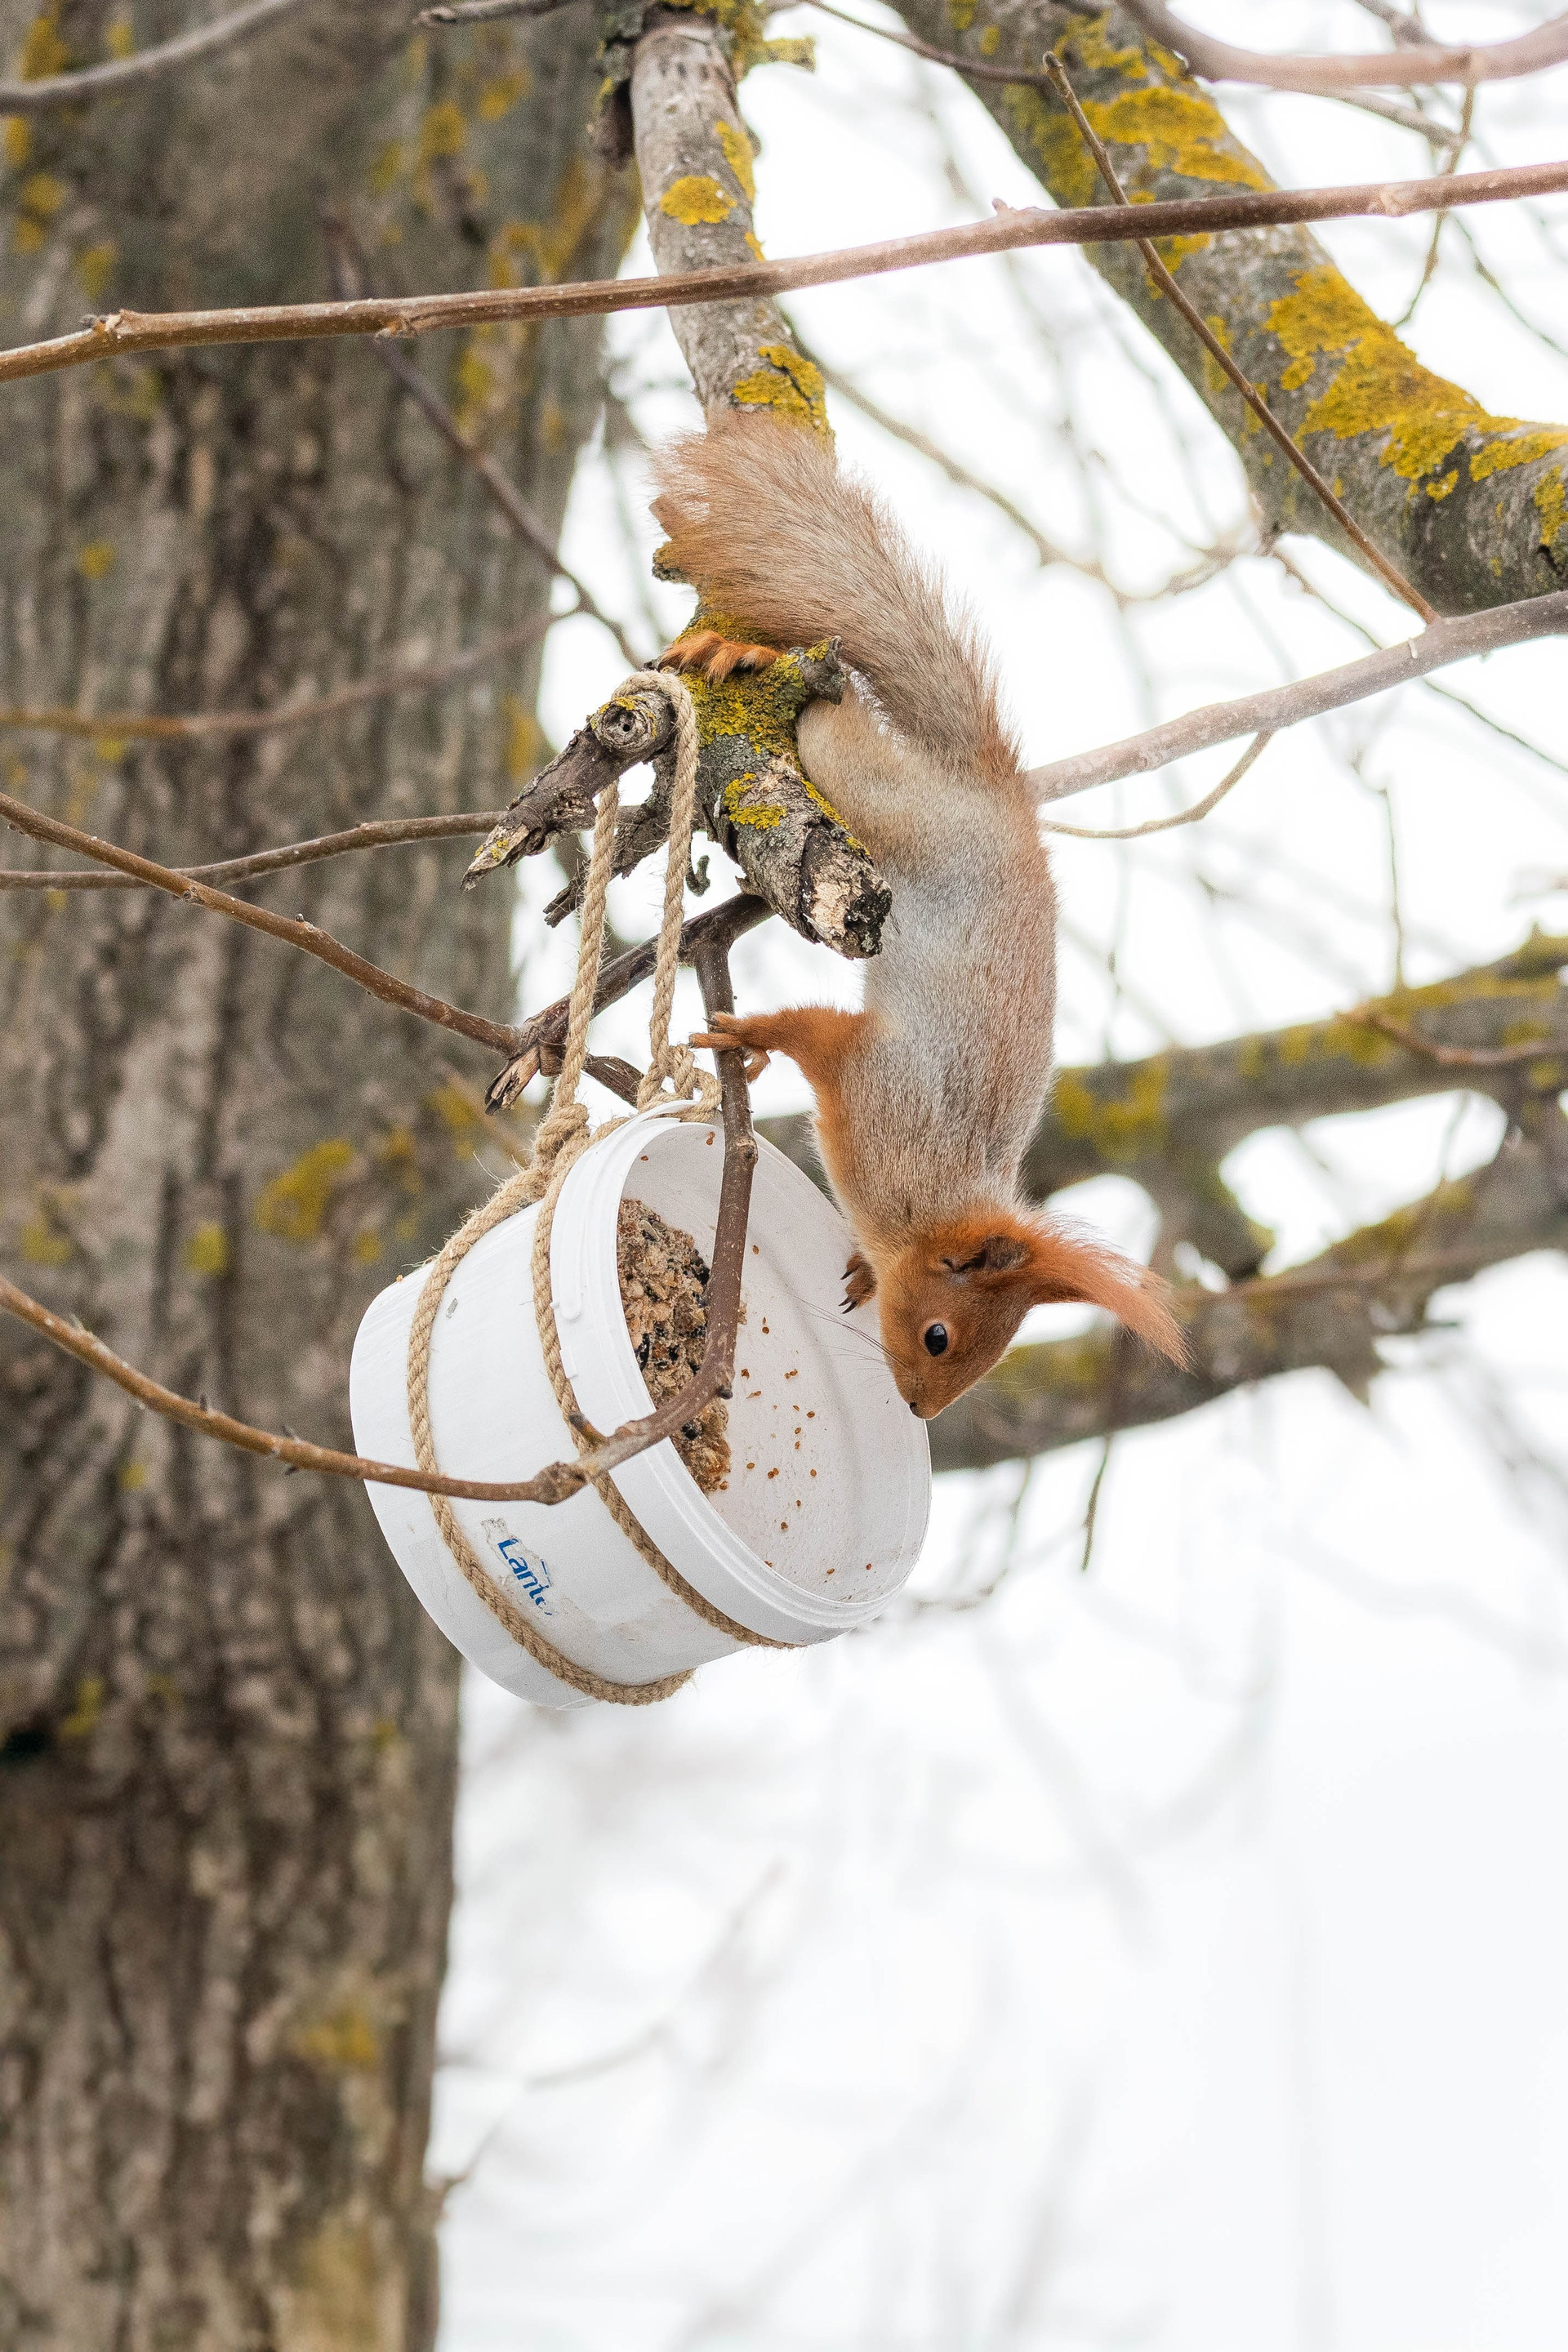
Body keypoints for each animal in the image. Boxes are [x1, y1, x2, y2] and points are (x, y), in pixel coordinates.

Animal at [651, 415, 1184, 1418]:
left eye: (988, 1358)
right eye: (941, 1336)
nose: (921, 1410)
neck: (927, 1200)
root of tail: (997, 793)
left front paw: (862, 1273)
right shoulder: (873, 1075)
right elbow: (813, 1029)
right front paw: (745, 1035)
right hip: (874, 795)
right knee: (833, 712)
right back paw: (757, 661)